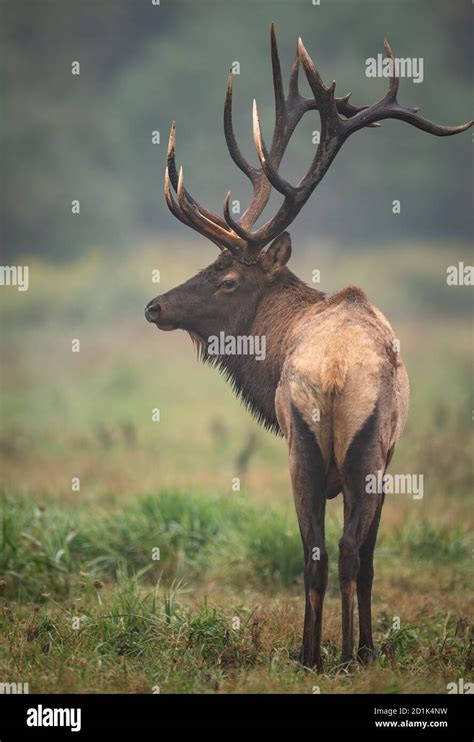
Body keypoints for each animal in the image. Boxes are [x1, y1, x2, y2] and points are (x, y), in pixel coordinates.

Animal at [146, 27, 472, 668]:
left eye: (226, 277)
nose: (155, 306)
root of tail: (337, 374)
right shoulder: (383, 456)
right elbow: (361, 558)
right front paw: (362, 646)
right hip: (351, 453)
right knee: (342, 552)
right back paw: (340, 653)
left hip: (311, 451)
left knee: (325, 553)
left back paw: (318, 653)